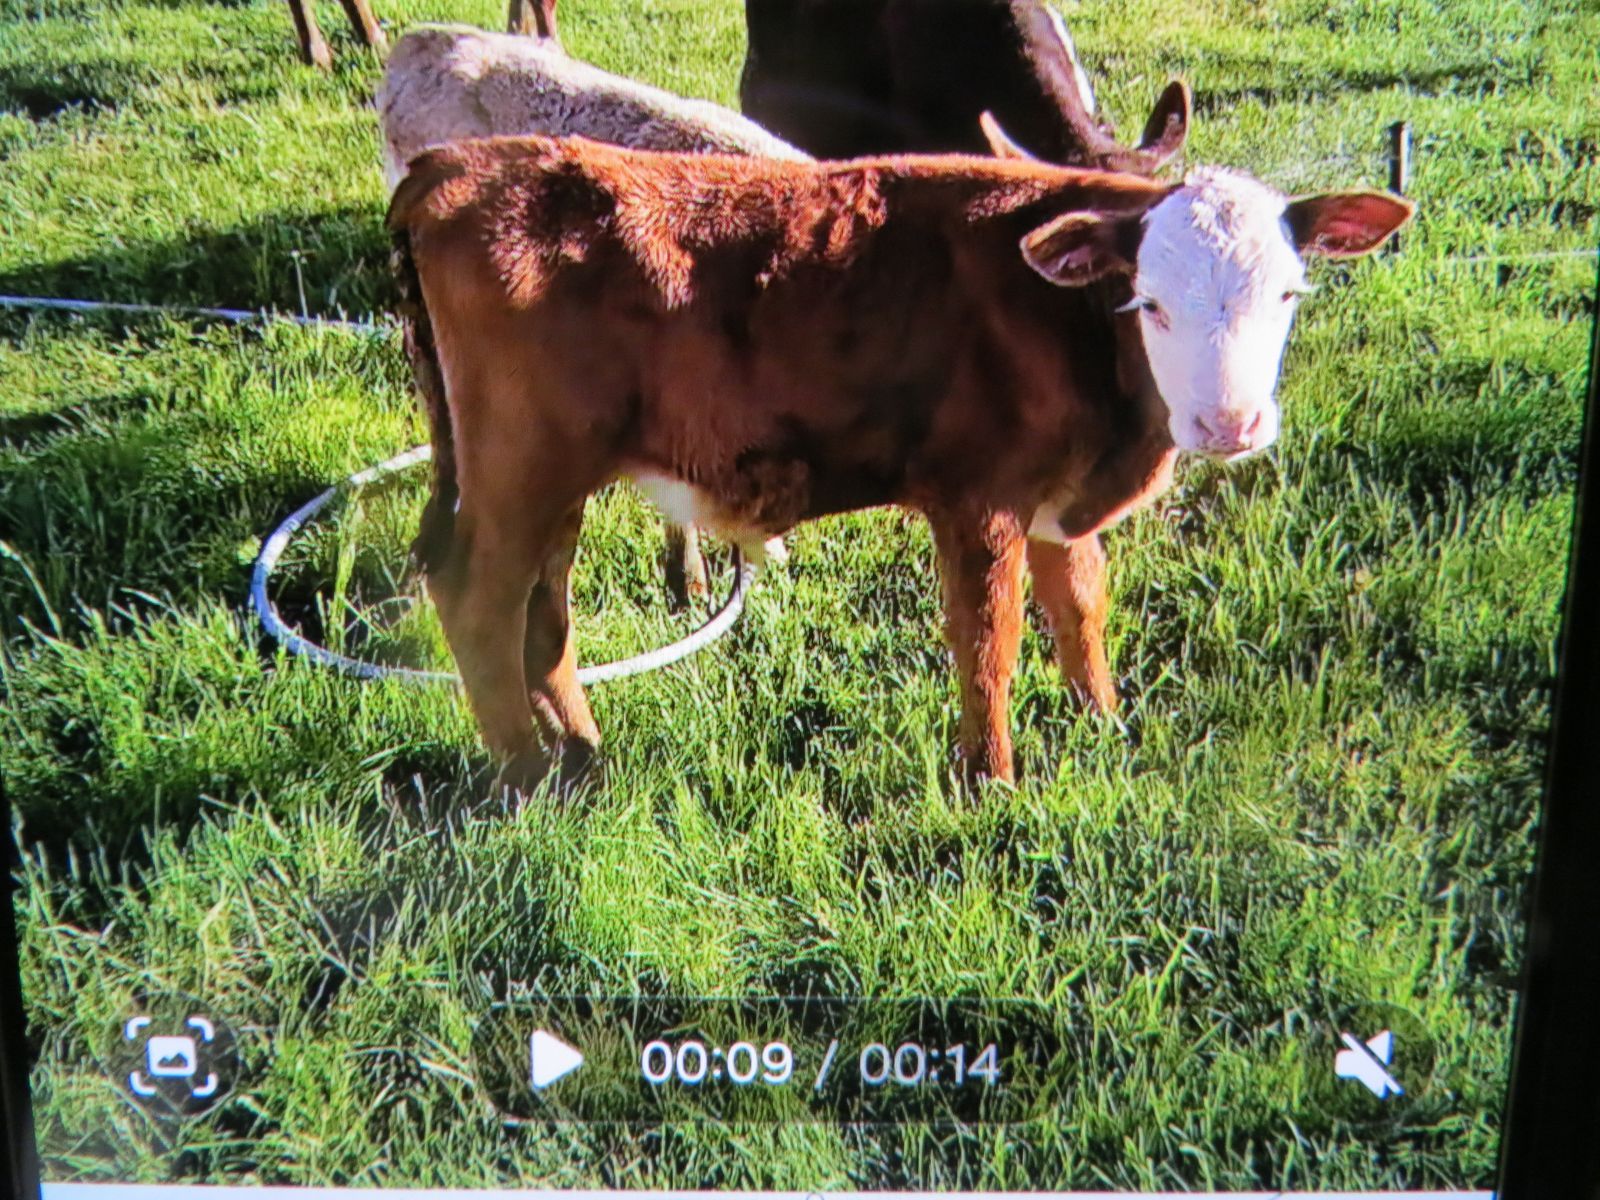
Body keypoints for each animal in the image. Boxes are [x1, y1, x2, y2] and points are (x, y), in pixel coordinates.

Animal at [386, 135, 1411, 793]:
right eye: (1148, 301)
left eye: (1290, 292)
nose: (1229, 422)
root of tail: (454, 165)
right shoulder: (978, 497)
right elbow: (990, 638)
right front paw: (991, 779)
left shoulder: (1057, 498)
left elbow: (1081, 605)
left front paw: (1104, 723)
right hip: (521, 462)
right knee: (478, 595)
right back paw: (526, 776)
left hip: (553, 474)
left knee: (543, 609)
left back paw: (581, 756)